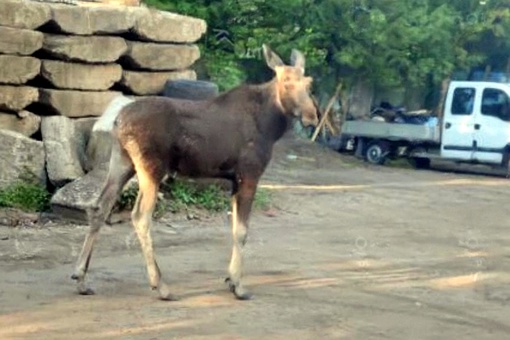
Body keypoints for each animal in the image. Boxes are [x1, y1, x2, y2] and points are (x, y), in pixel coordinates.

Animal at [71, 44, 318, 300]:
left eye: (309, 83)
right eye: (286, 82)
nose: (312, 116)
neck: (271, 126)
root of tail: (118, 120)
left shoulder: (234, 180)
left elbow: (233, 228)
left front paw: (230, 279)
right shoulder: (249, 174)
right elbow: (242, 231)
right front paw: (239, 286)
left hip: (121, 162)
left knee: (99, 207)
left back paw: (81, 278)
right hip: (151, 168)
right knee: (140, 216)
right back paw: (160, 285)